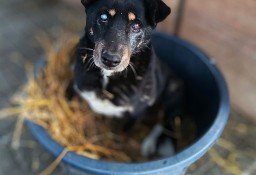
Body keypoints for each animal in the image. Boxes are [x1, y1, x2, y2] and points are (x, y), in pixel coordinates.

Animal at [73, 0, 183, 157]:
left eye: (136, 25)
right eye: (104, 16)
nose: (110, 60)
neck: (108, 77)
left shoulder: (136, 114)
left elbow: (123, 133)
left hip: (172, 91)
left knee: (163, 123)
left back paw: (149, 145)